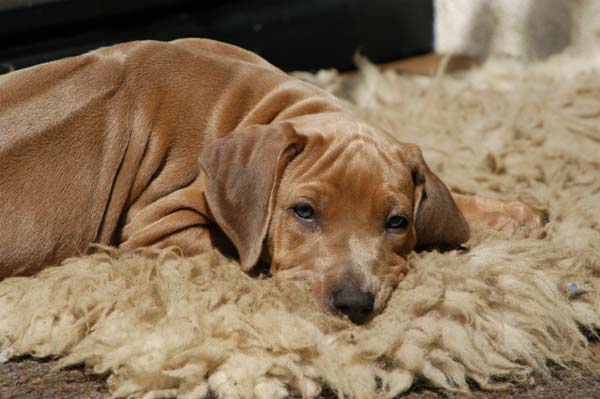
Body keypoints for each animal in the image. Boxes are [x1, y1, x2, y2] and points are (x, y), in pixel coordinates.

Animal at [0, 38, 544, 324]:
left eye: (396, 222)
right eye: (303, 212)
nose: (352, 306)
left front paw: (518, 213)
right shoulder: (157, 225)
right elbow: (233, 250)